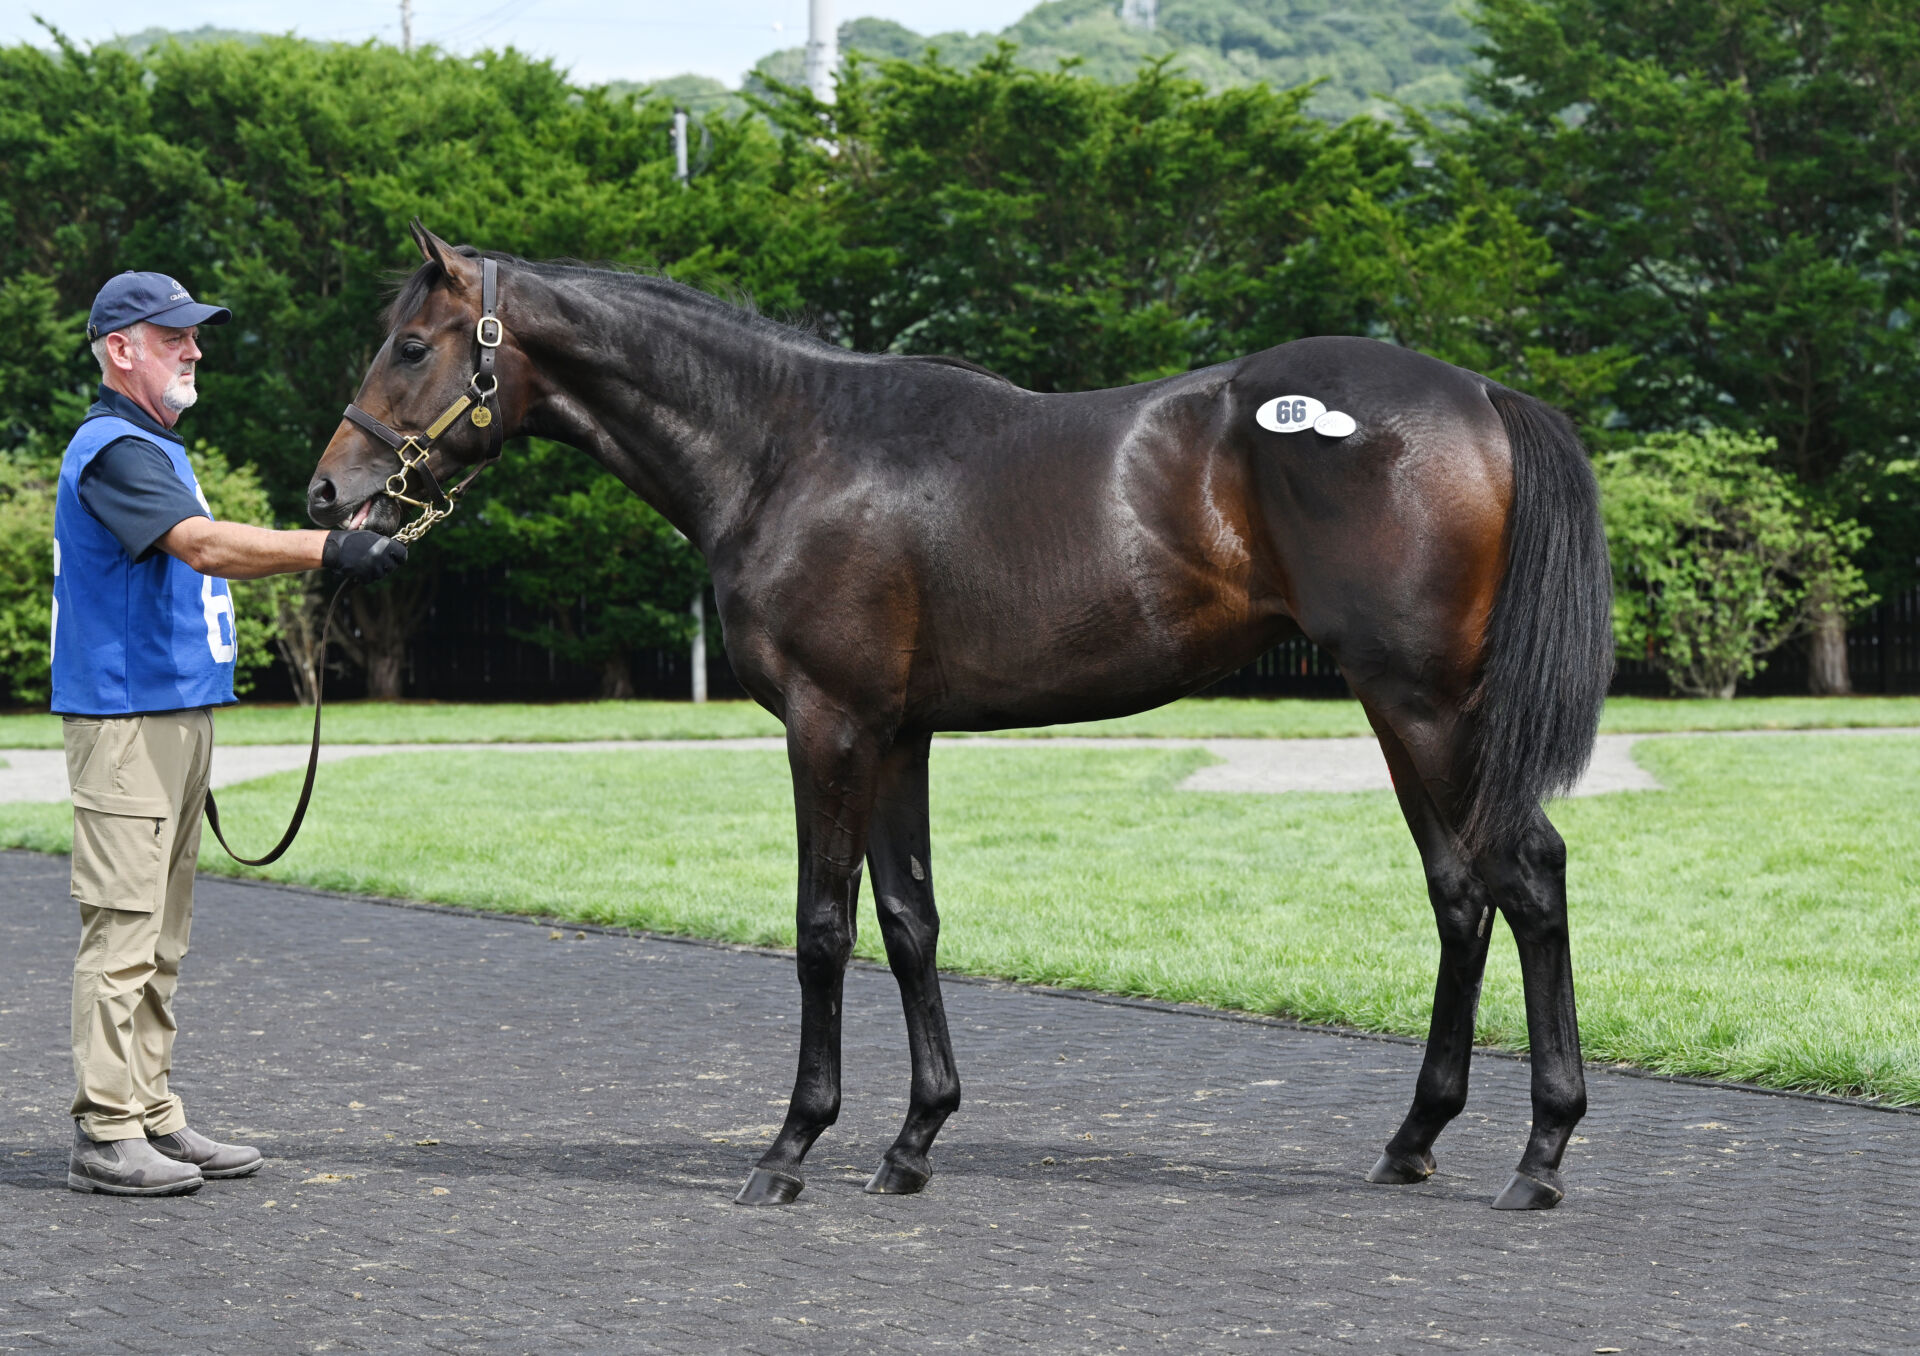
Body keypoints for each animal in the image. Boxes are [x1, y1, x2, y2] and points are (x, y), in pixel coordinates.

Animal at [309, 223, 1613, 1212]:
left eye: (412, 345)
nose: (329, 494)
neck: (786, 448)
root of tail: (1482, 394)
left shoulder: (828, 725)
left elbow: (823, 927)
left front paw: (791, 1148)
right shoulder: (898, 734)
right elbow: (910, 921)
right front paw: (913, 1140)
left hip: (1425, 702)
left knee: (1530, 874)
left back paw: (1544, 1152)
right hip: (1401, 711)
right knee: (1461, 892)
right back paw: (1415, 1140)